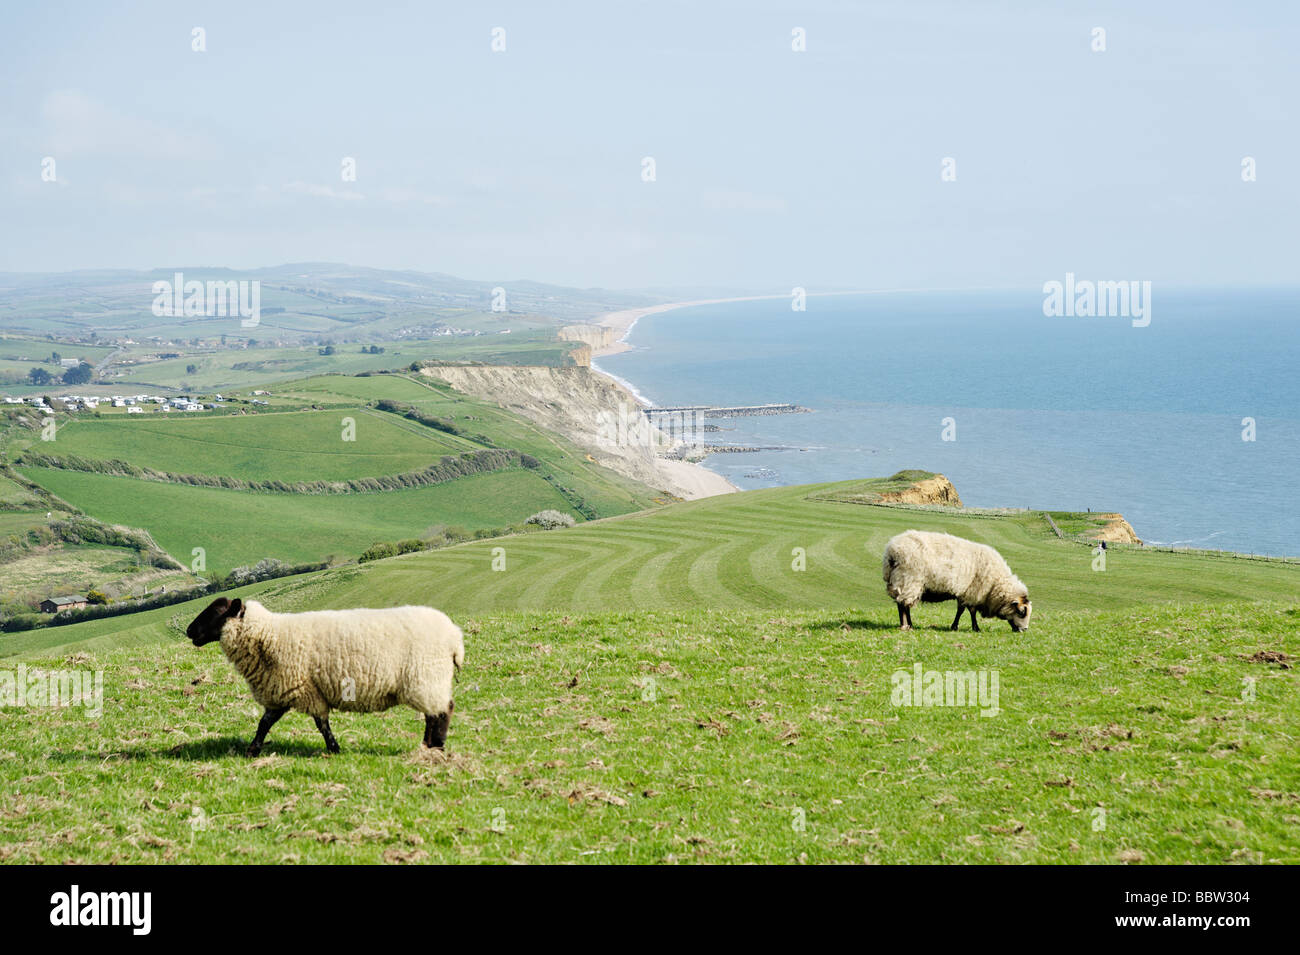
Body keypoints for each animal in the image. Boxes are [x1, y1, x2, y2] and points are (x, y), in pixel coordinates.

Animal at [185, 597, 465, 753]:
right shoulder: (282, 691)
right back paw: (428, 746)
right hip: (427, 681)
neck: (268, 634)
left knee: (442, 711)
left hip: (426, 677)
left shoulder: (303, 688)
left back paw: (436, 746)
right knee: (433, 713)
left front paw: (333, 748)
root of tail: (455, 637)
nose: (189, 630)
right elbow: (265, 723)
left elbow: (321, 723)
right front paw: (252, 750)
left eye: (216, 612)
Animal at [878, 530, 1029, 634]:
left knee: (903, 604)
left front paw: (956, 626)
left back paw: (908, 624)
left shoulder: (964, 592)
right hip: (909, 580)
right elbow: (970, 611)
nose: (1024, 630)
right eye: (1021, 612)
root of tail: (892, 553)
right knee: (904, 605)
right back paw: (906, 625)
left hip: (900, 582)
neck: (996, 584)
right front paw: (974, 628)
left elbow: (961, 610)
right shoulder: (972, 592)